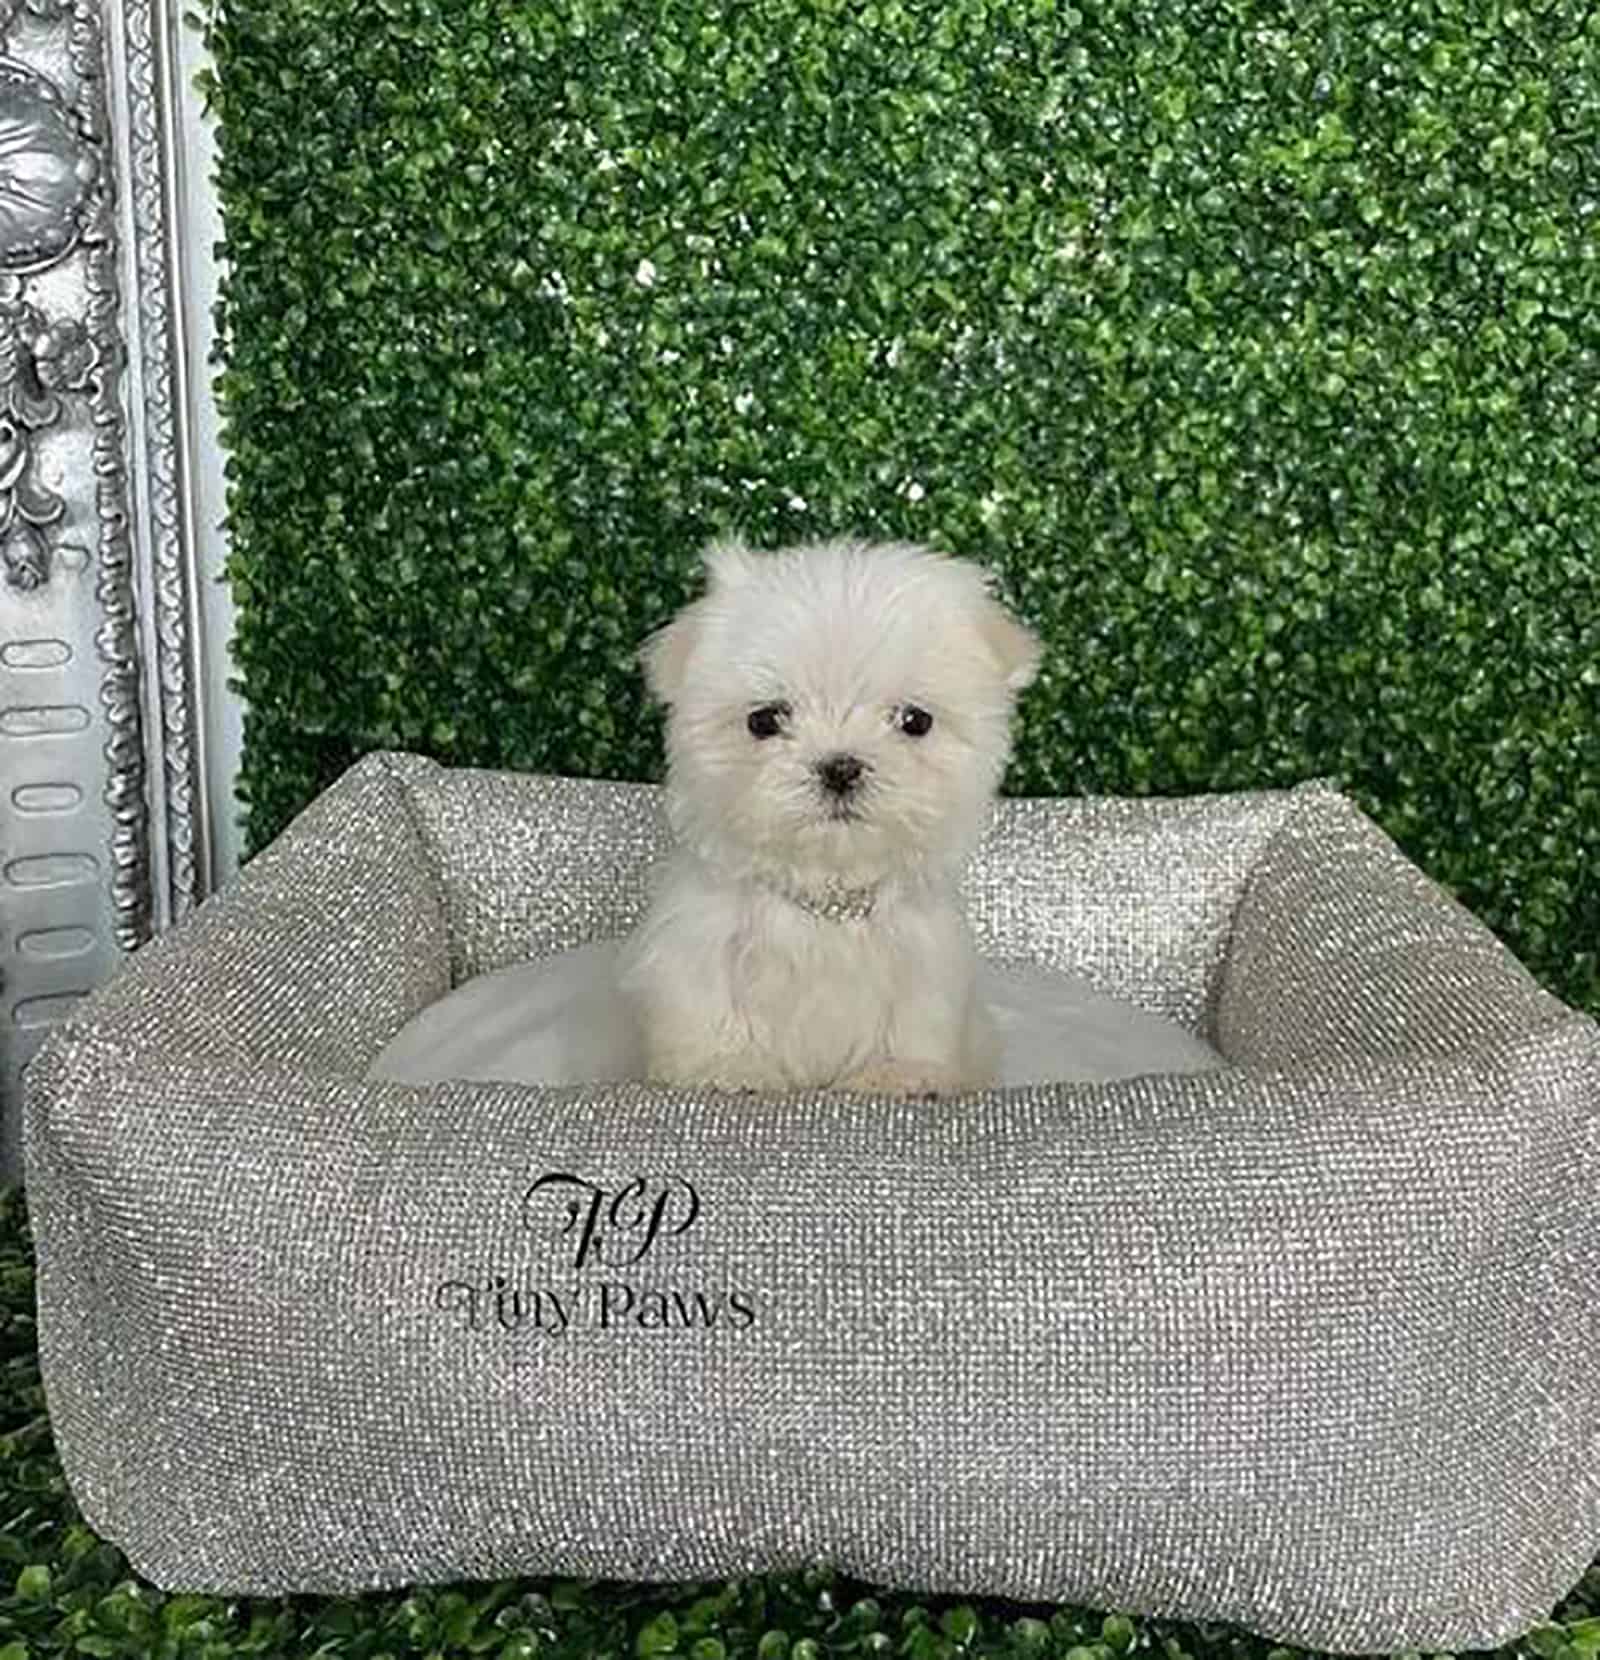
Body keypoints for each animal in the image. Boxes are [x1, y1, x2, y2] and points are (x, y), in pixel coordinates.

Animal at [617, 537, 1042, 1095]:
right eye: (764, 720)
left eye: (915, 721)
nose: (840, 767)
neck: (828, 896)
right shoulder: (699, 945)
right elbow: (709, 1008)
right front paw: (729, 1067)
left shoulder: (924, 960)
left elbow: (915, 1022)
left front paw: (900, 1074)